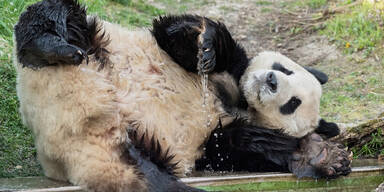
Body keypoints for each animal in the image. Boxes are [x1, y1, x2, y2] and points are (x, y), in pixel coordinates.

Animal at [13, 0, 352, 191]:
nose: (270, 80)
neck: (236, 100)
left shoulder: (215, 141)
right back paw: (51, 47)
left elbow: (241, 144)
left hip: (144, 144)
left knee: (146, 174)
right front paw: (207, 48)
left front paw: (319, 154)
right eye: (284, 69)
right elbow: (177, 34)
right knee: (56, 16)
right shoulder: (231, 65)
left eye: (292, 104)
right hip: (95, 47)